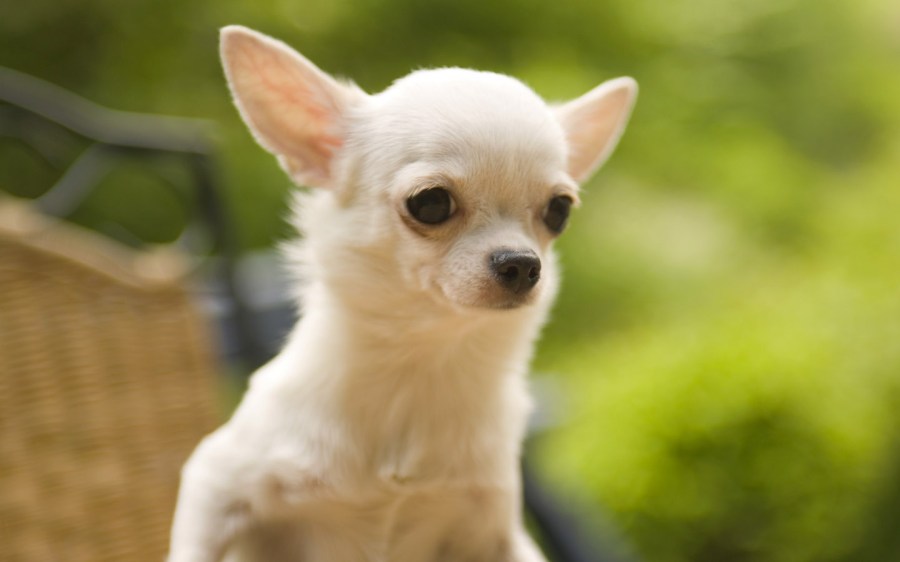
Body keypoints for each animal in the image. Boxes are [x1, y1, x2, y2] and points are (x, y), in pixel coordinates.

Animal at [168, 25, 636, 562]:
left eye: (559, 211)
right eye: (430, 203)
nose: (522, 264)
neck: (421, 361)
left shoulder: (496, 533)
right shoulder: (215, 485)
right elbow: (192, 546)